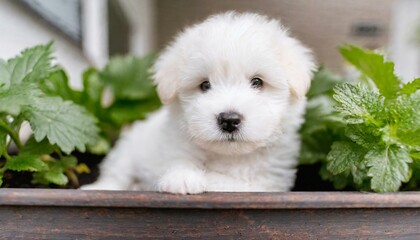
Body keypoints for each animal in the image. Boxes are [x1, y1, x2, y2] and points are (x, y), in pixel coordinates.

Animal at [82, 12, 314, 194]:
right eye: (204, 85)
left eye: (257, 82)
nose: (229, 120)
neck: (230, 156)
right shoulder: (175, 146)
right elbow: (179, 161)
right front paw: (182, 177)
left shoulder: (267, 181)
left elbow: (229, 181)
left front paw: (202, 178)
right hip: (129, 150)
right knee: (116, 175)